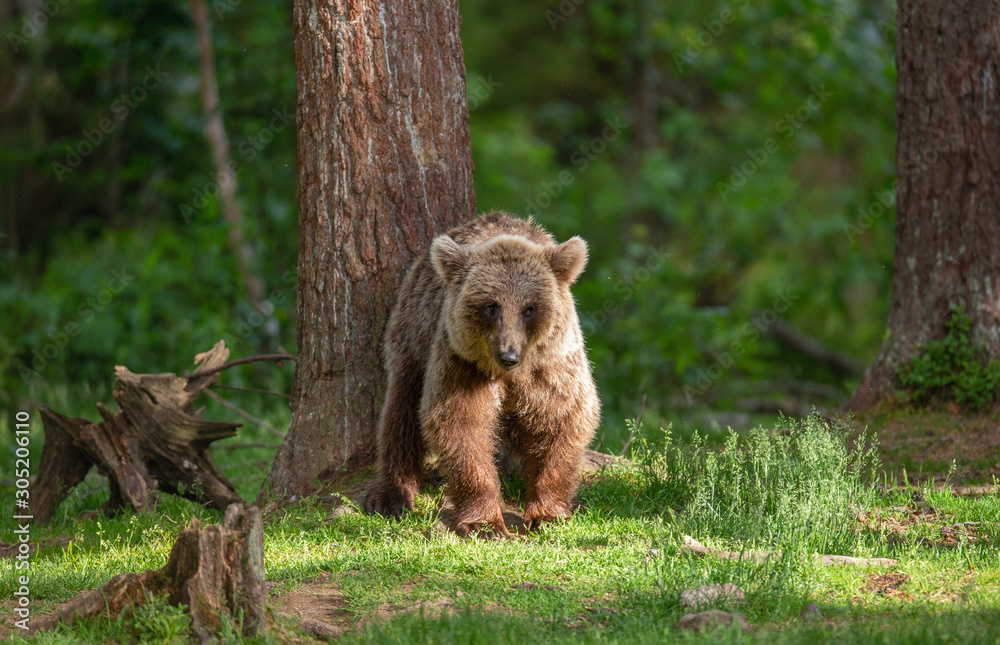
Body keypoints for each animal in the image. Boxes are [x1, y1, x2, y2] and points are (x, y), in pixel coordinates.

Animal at [365, 211, 601, 537]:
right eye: (491, 306)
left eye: (529, 308)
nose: (508, 355)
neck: (511, 374)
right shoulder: (462, 364)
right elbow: (462, 425)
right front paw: (485, 523)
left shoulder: (552, 366)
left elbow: (560, 420)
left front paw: (548, 514)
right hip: (415, 333)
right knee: (402, 410)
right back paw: (390, 495)